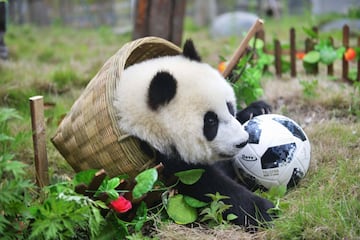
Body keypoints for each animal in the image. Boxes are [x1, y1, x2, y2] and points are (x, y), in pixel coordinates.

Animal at [114, 39, 274, 227]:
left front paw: (258, 109)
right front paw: (265, 211)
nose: (242, 142)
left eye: (229, 107)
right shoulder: (159, 161)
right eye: (210, 121)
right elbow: (210, 187)